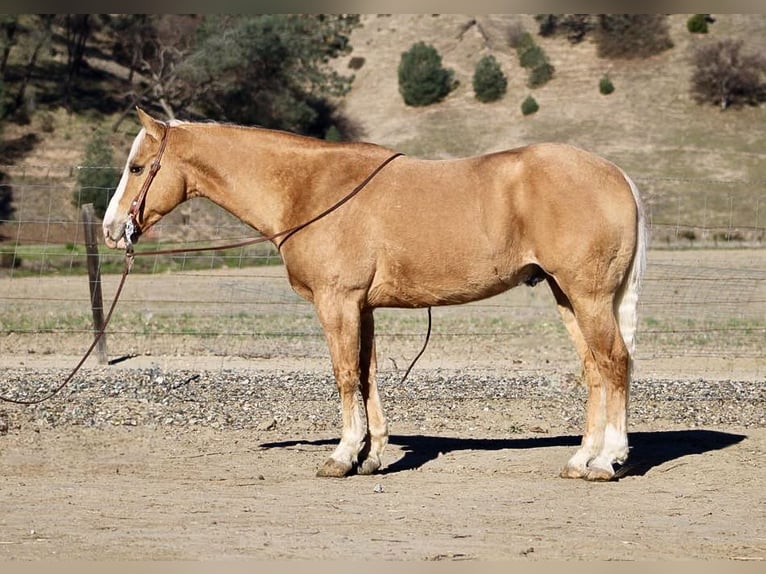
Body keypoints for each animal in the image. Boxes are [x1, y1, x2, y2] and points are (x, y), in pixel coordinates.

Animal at [103, 108, 647, 481]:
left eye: (137, 167)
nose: (111, 229)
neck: (311, 189)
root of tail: (616, 174)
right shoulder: (361, 307)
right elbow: (367, 374)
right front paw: (372, 456)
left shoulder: (337, 302)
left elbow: (346, 376)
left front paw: (342, 456)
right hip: (567, 297)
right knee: (595, 369)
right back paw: (582, 458)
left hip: (588, 296)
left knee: (614, 362)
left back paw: (608, 461)